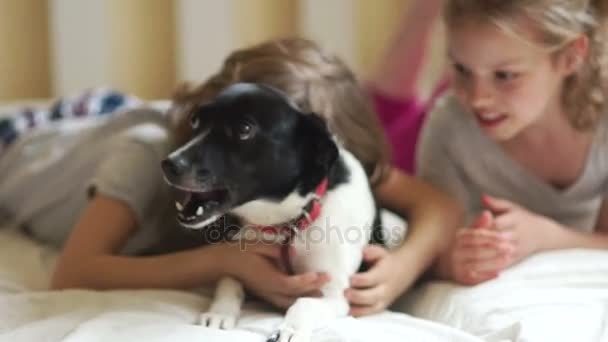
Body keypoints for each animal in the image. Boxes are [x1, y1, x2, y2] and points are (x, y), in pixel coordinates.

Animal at [159, 83, 382, 342]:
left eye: (244, 129)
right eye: (195, 120)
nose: (168, 164)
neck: (288, 221)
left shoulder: (334, 294)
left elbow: (304, 303)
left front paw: (291, 329)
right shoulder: (243, 260)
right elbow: (228, 283)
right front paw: (219, 313)